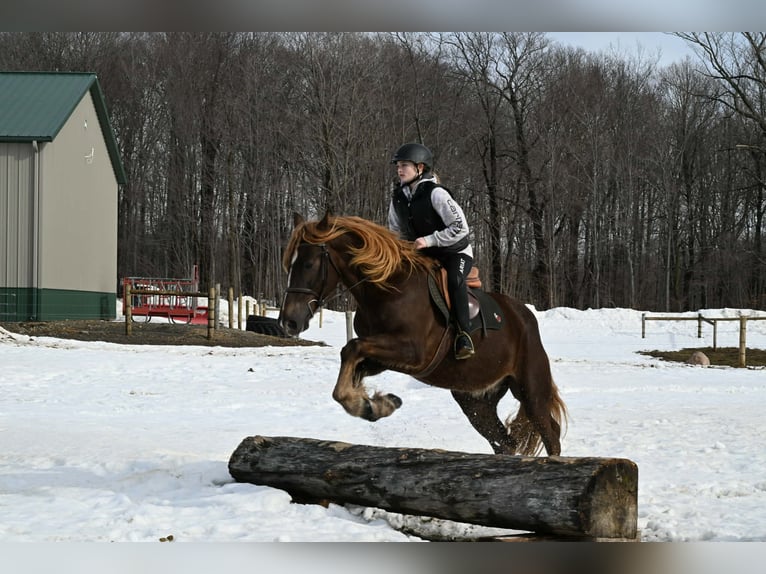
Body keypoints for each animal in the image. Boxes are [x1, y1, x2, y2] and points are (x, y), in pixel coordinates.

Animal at [278, 212, 567, 456]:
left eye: (308, 264)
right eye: (289, 265)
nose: (288, 322)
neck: (388, 289)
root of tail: (525, 316)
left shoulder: (412, 352)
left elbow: (351, 348)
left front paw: (371, 404)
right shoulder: (383, 357)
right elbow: (350, 364)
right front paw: (375, 405)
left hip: (530, 389)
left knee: (549, 431)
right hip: (476, 400)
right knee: (504, 441)